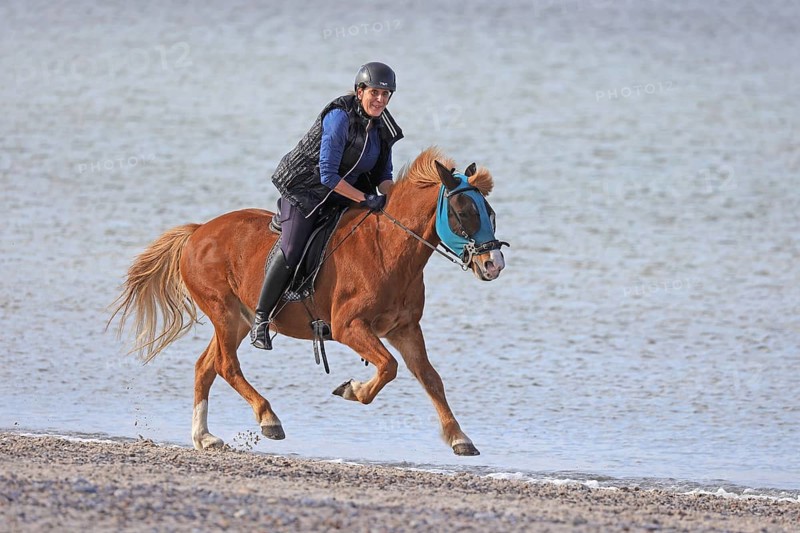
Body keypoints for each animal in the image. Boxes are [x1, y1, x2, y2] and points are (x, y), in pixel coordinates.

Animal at [110, 146, 506, 456]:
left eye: (490, 213)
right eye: (464, 212)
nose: (494, 264)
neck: (389, 249)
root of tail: (196, 233)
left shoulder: (404, 329)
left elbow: (429, 377)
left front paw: (459, 438)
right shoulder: (349, 327)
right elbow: (389, 367)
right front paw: (352, 390)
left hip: (236, 319)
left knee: (205, 366)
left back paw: (203, 437)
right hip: (224, 312)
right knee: (225, 365)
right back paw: (268, 419)